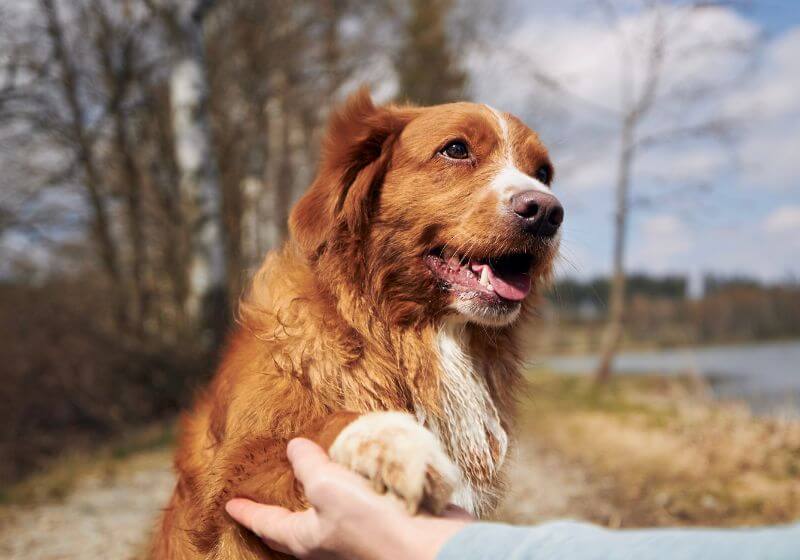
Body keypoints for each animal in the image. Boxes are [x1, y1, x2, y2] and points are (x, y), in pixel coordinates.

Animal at [150, 86, 564, 556]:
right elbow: (320, 426)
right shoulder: (230, 474)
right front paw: (394, 442)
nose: (547, 212)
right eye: (456, 149)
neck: (409, 335)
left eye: (544, 173)